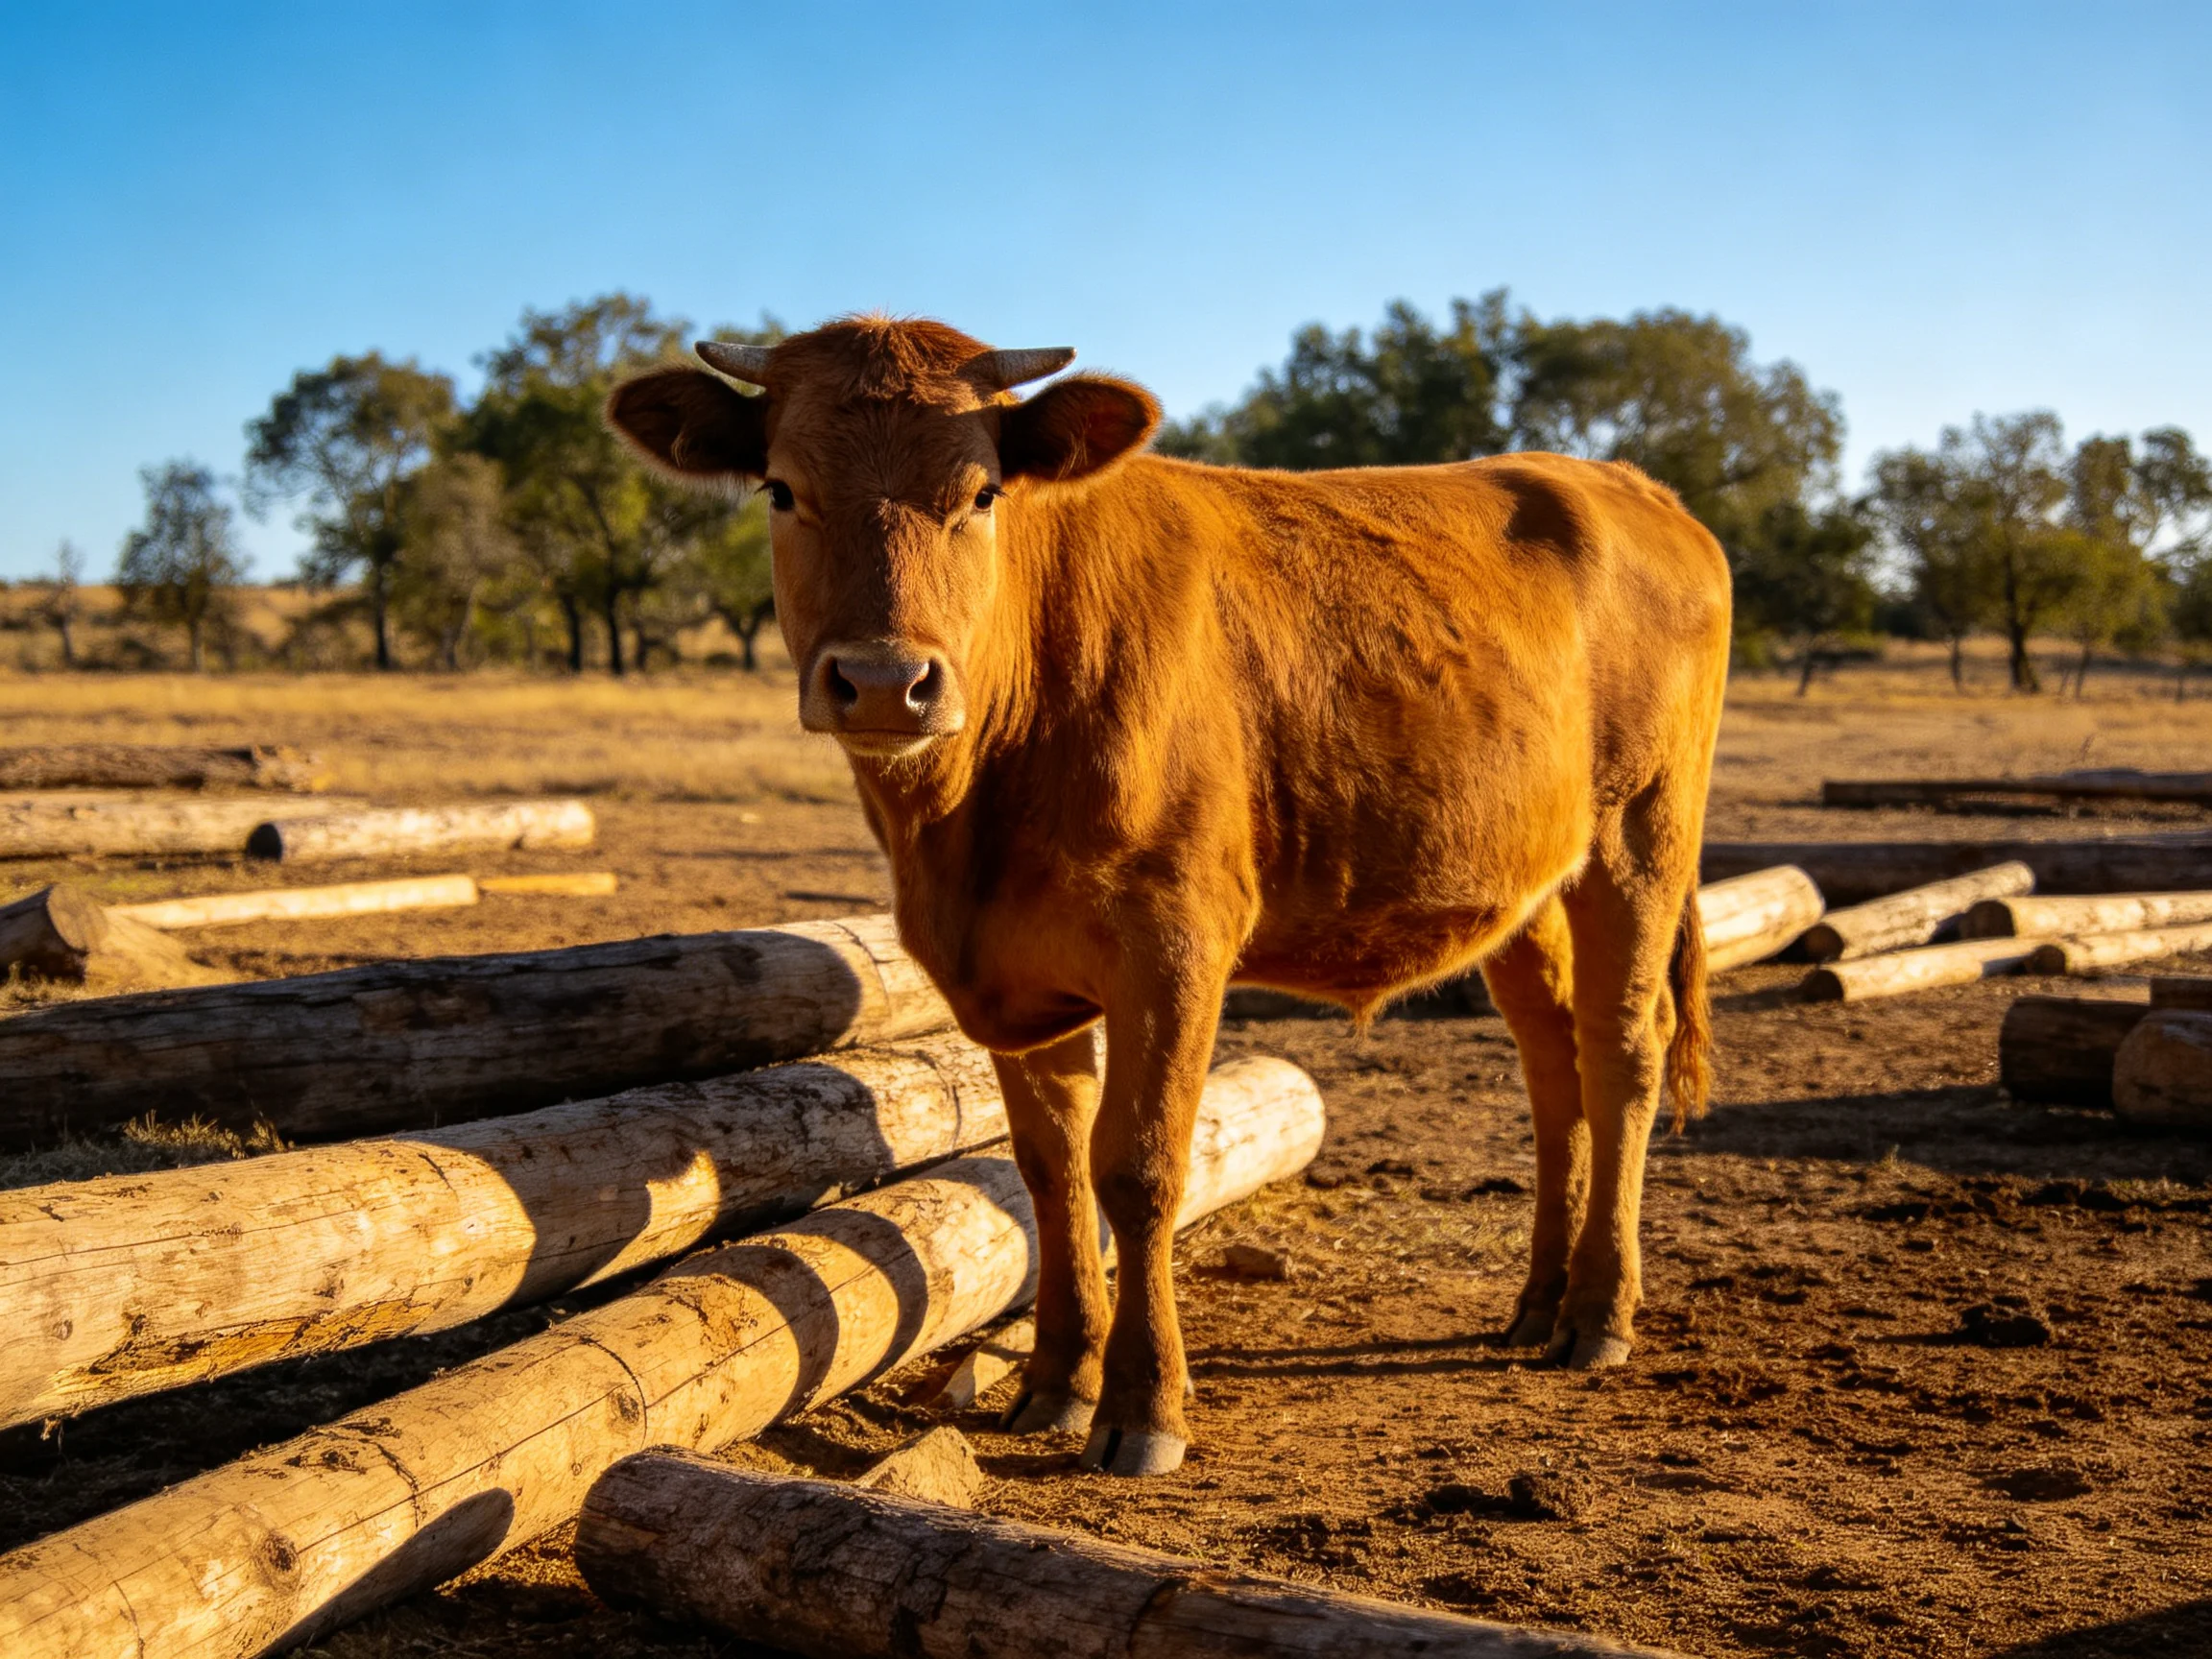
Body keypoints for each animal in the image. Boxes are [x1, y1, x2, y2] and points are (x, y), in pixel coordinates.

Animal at [607, 316, 1732, 1477]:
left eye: (981, 492)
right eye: (782, 489)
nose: (883, 682)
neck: (967, 822)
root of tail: (1631, 486)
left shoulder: (1176, 945)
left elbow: (1138, 1168)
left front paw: (1144, 1407)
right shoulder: (1018, 978)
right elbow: (1048, 1172)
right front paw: (1057, 1382)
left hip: (1643, 831)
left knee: (1621, 1050)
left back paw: (1599, 1313)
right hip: (1527, 884)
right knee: (1553, 1065)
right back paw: (1540, 1301)